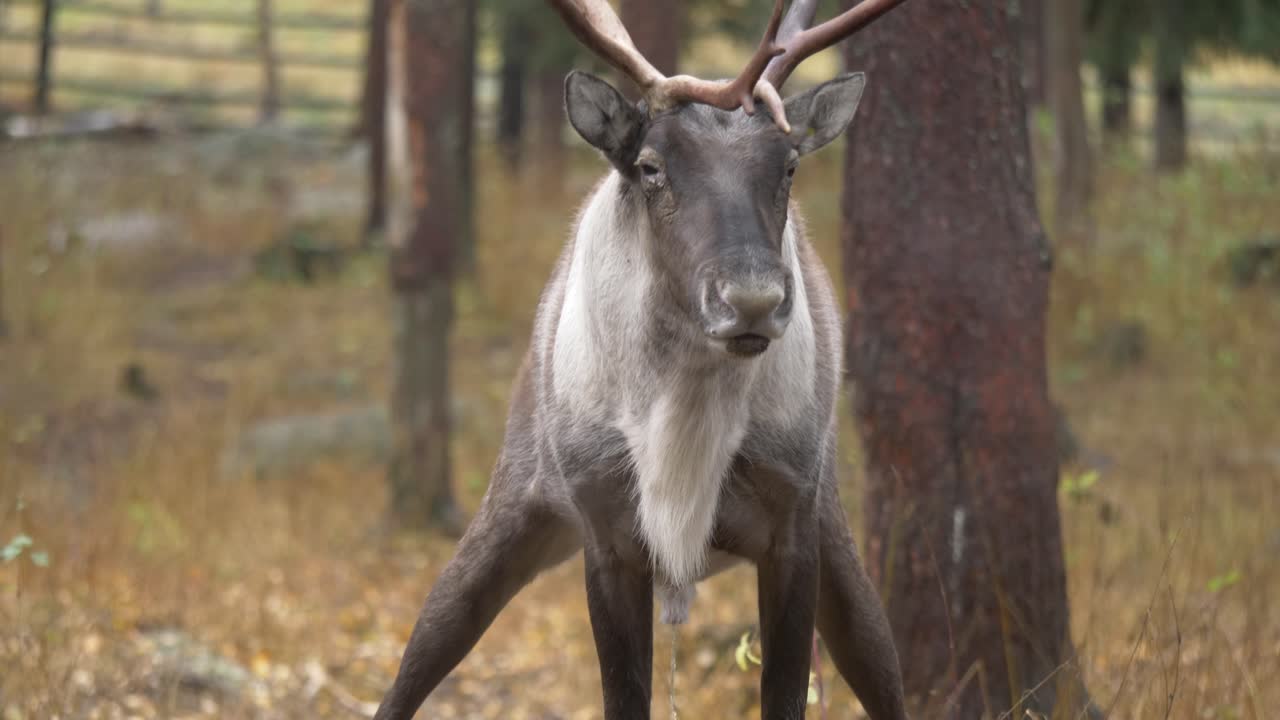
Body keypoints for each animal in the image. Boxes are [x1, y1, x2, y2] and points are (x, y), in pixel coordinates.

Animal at [374, 1, 911, 718]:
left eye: (790, 166)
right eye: (652, 166)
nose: (753, 300)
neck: (684, 421)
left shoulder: (794, 522)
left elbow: (788, 694)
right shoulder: (608, 535)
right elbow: (623, 695)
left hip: (834, 526)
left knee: (883, 667)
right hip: (516, 502)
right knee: (418, 656)